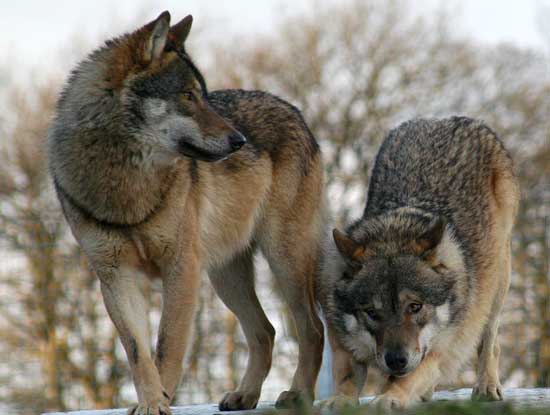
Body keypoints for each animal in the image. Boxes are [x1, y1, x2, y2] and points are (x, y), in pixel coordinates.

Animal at [47, 11, 326, 414]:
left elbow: (168, 346)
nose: (240, 141)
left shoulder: (181, 269)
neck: (126, 183)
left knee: (312, 329)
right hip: (225, 275)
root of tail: (296, 112)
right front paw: (150, 402)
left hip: (283, 261)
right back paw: (245, 395)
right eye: (188, 96)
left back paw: (299, 394)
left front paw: (161, 401)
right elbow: (138, 353)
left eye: (204, 95)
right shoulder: (115, 276)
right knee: (266, 331)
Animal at [320, 116, 520, 410]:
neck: (392, 234)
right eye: (372, 312)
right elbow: (347, 376)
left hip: (498, 282)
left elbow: (410, 377)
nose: (396, 360)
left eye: (415, 307)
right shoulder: (343, 341)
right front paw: (339, 399)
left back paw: (487, 386)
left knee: (490, 340)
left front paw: (389, 397)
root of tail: (444, 118)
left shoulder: (441, 348)